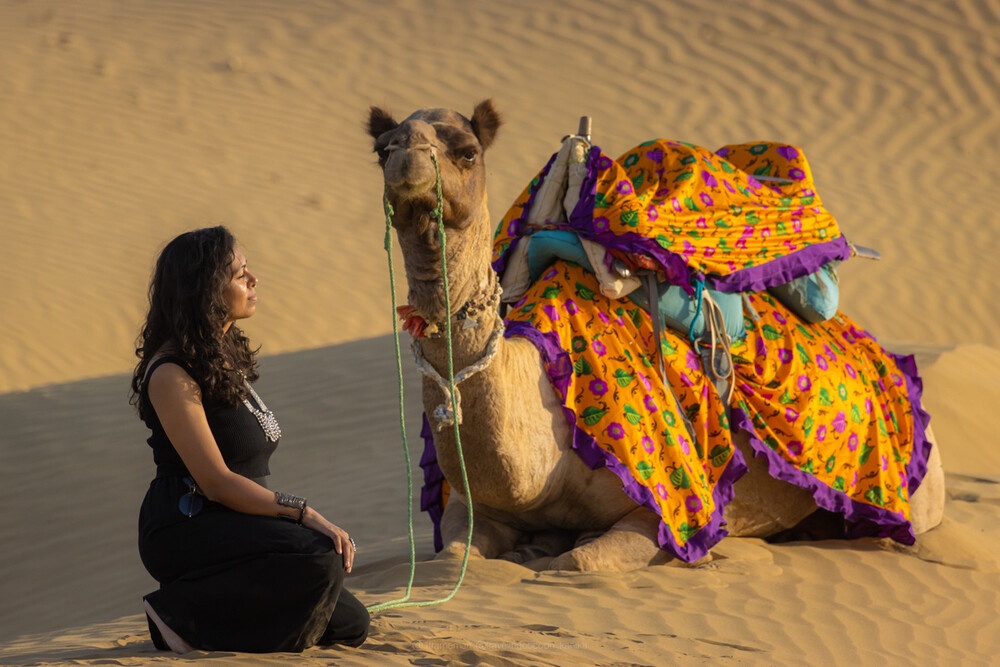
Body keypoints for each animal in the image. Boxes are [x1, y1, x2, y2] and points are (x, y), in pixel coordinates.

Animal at [368, 100, 944, 576]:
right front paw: (533, 545)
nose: (406, 158)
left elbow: (579, 563)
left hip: (919, 488)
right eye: (382, 149)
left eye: (466, 151)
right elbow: (454, 555)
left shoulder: (667, 505)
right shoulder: (475, 508)